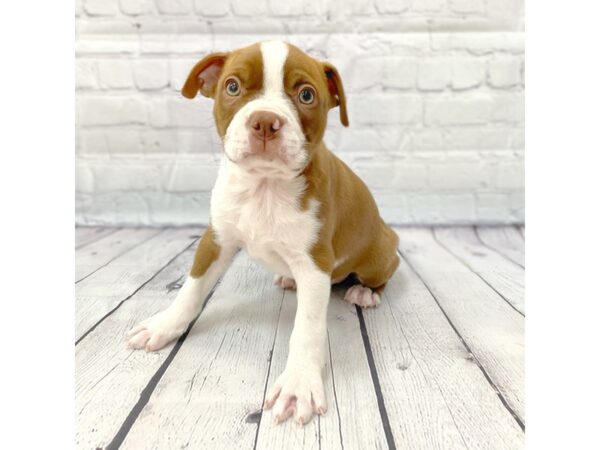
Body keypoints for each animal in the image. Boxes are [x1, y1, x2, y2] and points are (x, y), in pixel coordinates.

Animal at [126, 41, 398, 426]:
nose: (265, 121)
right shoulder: (216, 240)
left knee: (381, 275)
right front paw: (165, 325)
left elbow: (307, 329)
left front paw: (299, 383)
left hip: (380, 256)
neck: (265, 187)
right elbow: (191, 290)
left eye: (306, 94)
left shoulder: (315, 263)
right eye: (232, 87)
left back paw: (364, 292)